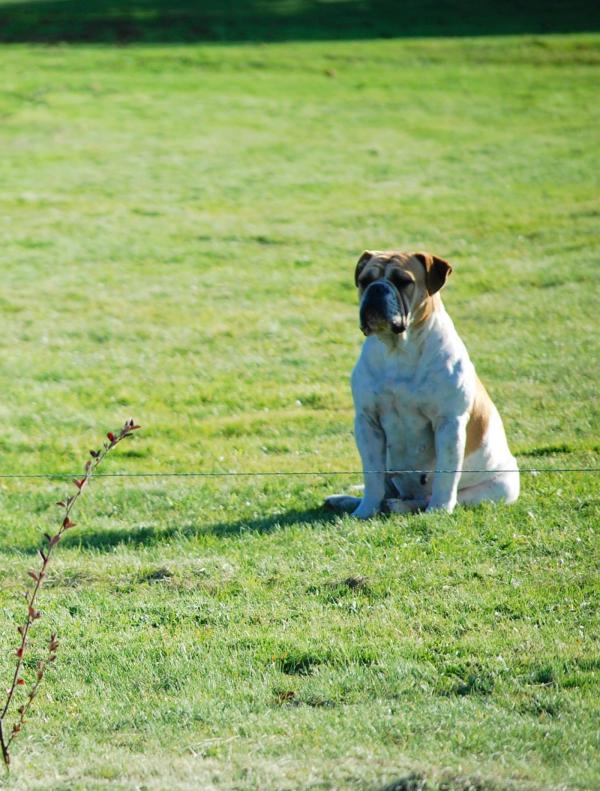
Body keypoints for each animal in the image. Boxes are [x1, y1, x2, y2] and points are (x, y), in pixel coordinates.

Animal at [326, 249, 516, 520]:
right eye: (364, 280)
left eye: (403, 281)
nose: (376, 289)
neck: (398, 350)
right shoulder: (368, 422)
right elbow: (372, 476)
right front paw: (364, 510)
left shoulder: (448, 423)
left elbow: (446, 476)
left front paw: (439, 509)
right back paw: (347, 500)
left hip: (500, 486)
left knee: (444, 498)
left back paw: (403, 506)